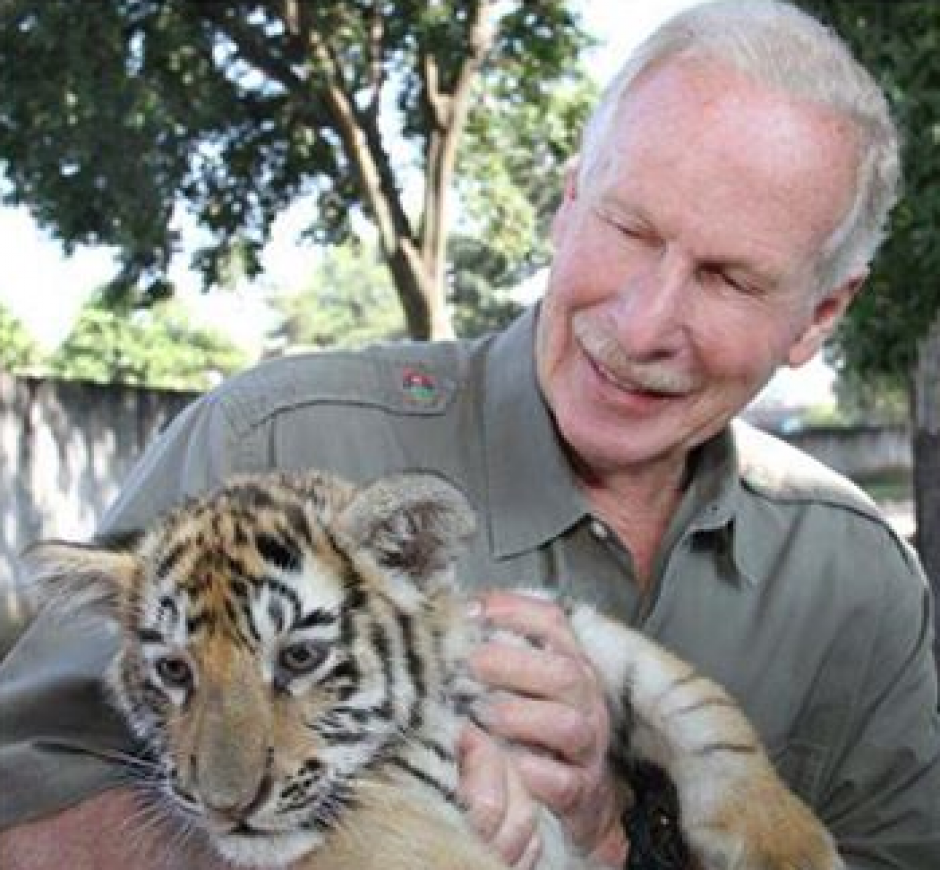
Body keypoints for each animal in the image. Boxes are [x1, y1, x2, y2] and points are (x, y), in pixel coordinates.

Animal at [23, 469, 842, 870]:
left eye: (299, 657)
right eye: (173, 672)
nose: (225, 809)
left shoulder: (551, 627)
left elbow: (701, 706)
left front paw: (794, 850)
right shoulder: (377, 818)